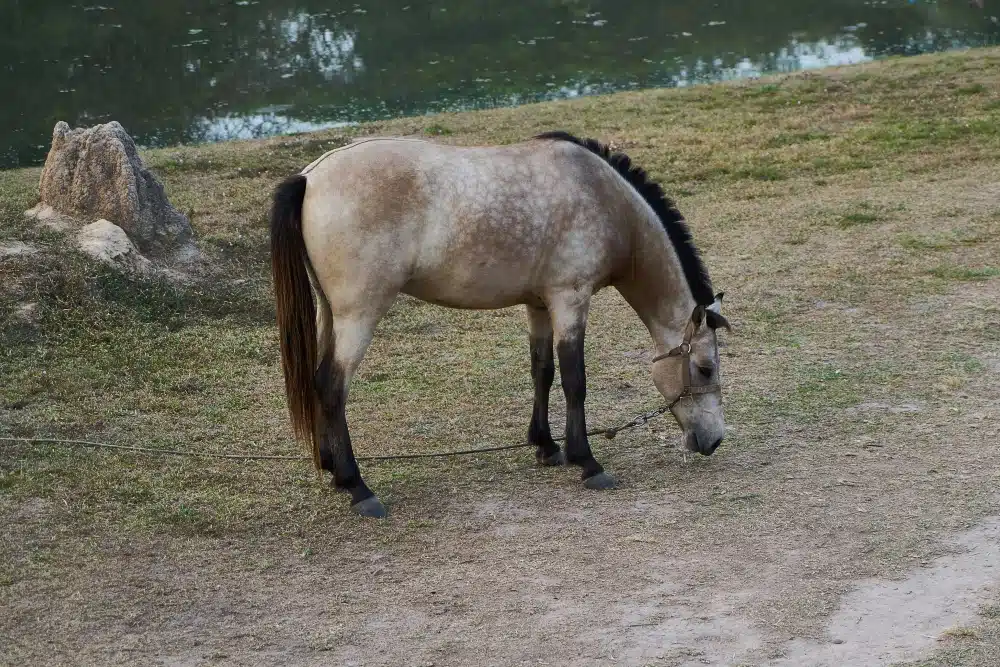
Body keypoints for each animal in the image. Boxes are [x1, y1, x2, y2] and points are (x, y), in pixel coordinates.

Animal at [269, 131, 731, 518]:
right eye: (705, 368)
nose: (714, 441)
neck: (602, 197)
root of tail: (310, 177)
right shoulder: (570, 299)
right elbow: (574, 380)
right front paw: (587, 462)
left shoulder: (540, 305)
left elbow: (542, 371)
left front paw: (546, 446)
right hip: (358, 317)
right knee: (332, 386)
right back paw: (358, 487)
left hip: (329, 314)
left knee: (317, 382)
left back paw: (332, 469)